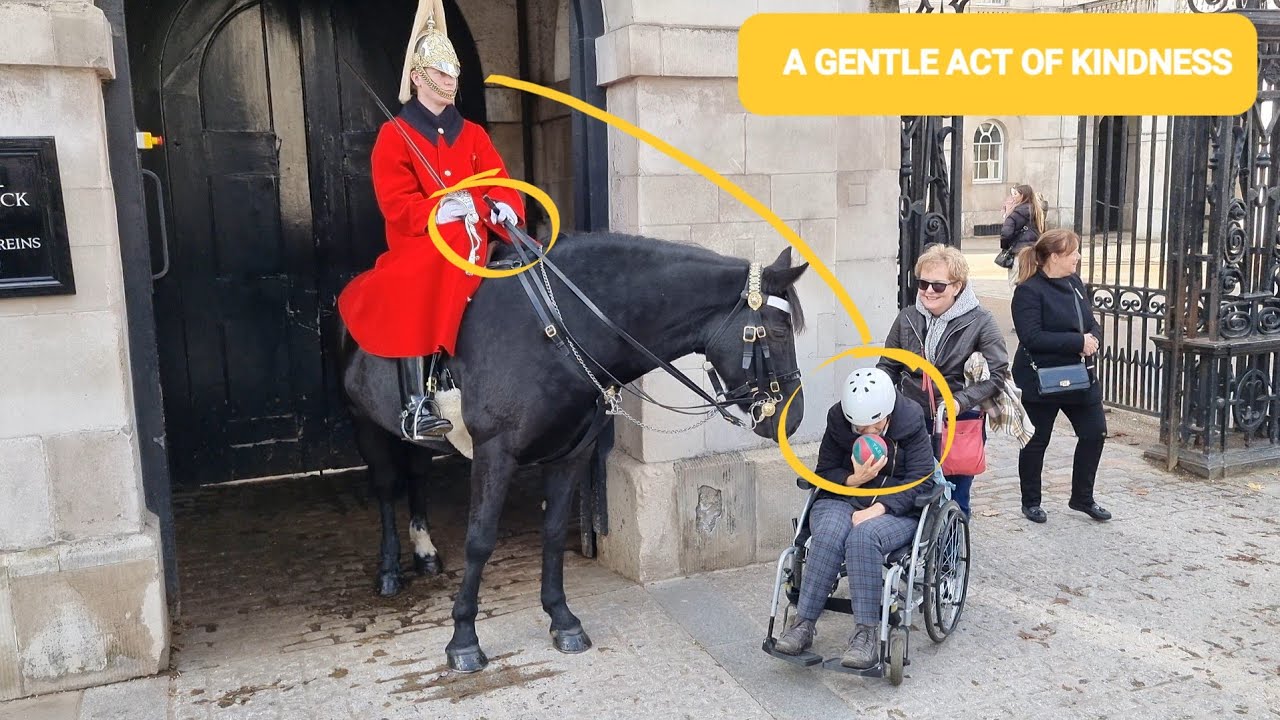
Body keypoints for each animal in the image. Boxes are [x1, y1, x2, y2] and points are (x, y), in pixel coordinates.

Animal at [340, 231, 809, 672]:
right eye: (778, 331)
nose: (794, 417)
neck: (557, 330)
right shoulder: (495, 453)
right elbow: (480, 540)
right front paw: (464, 638)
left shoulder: (572, 455)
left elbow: (551, 531)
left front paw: (561, 619)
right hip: (366, 424)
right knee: (387, 489)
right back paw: (389, 571)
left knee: (416, 476)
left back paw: (425, 553)